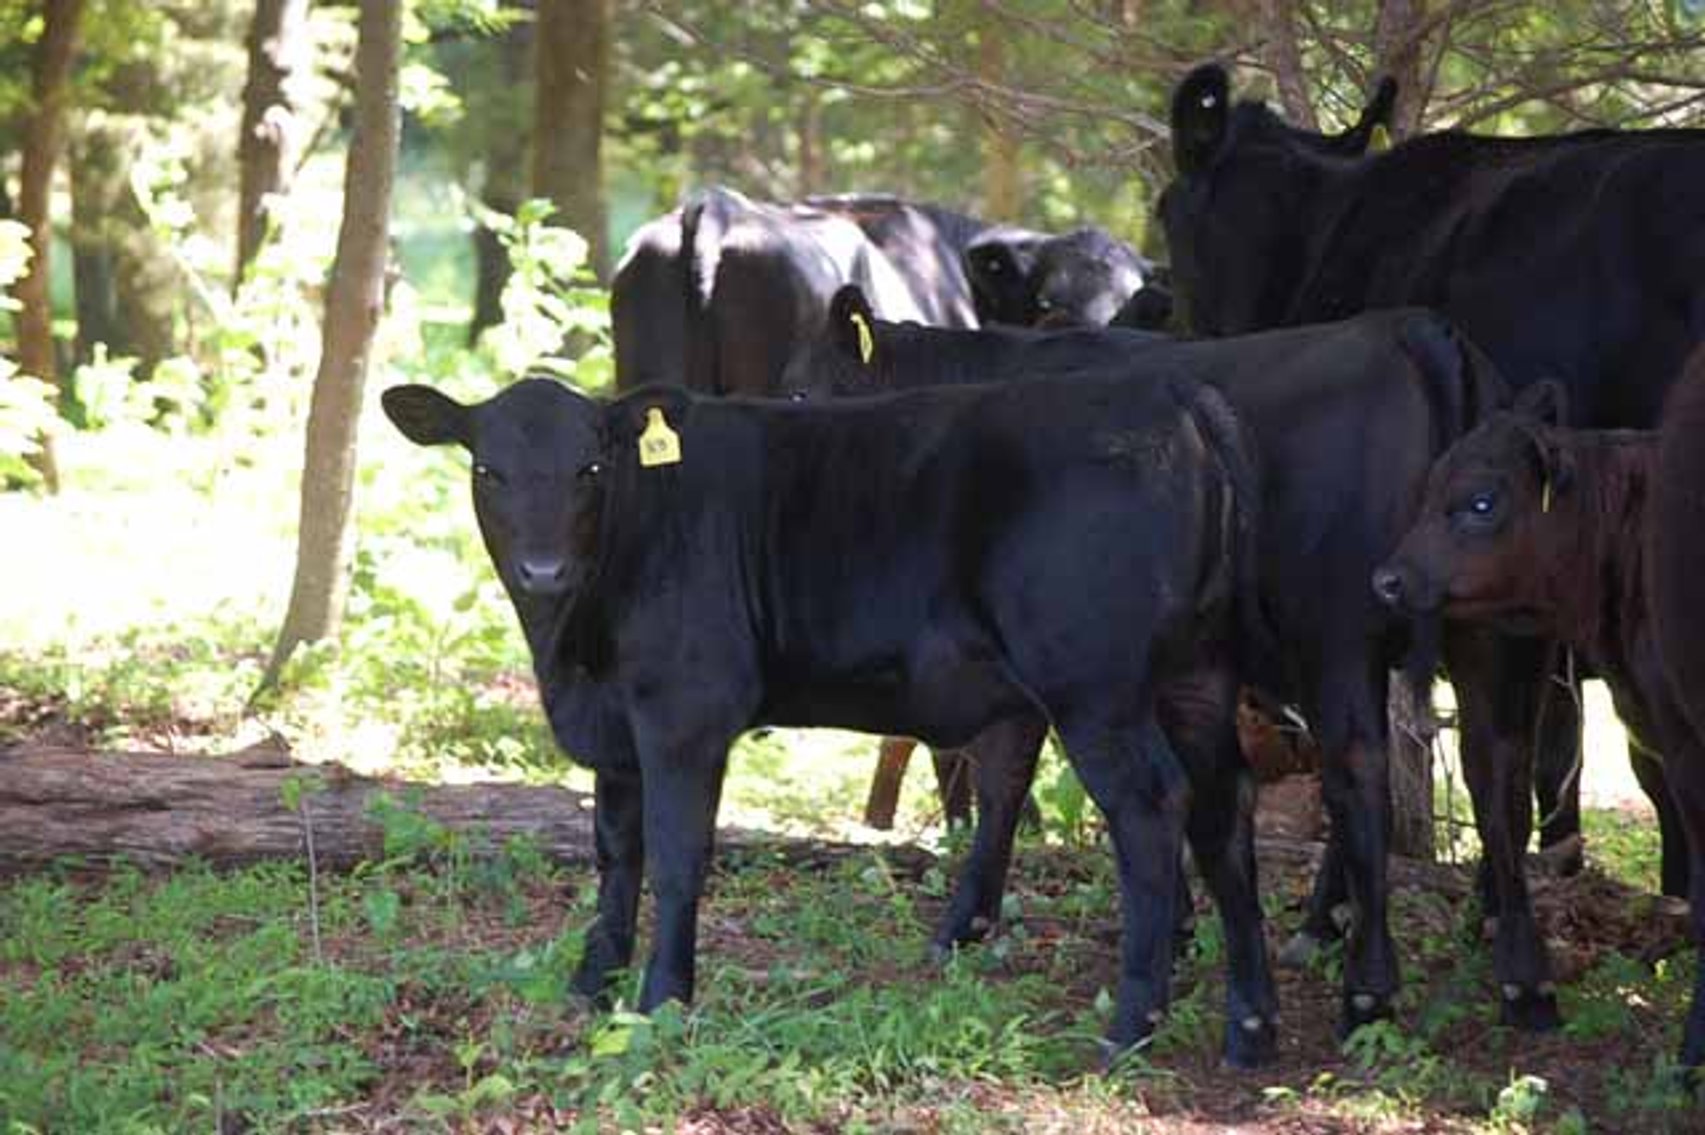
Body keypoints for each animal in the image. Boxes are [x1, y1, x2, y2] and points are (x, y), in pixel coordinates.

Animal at [380, 372, 1279, 1067]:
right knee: (1223, 812)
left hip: (1094, 684)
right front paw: (589, 984)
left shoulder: (684, 710)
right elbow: (614, 854)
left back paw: (1129, 1028)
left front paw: (661, 999)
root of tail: (1172, 396)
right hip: (1198, 671)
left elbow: (675, 856)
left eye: (589, 467)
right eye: (488, 469)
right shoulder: (616, 732)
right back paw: (1250, 1028)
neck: (574, 653)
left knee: (1152, 810)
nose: (543, 569)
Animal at [786, 286, 1503, 1034]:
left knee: (1358, 770)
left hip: (1334, 629)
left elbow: (1013, 778)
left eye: (802, 389)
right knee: (1486, 764)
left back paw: (1365, 982)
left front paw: (968, 923)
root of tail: (1407, 327)